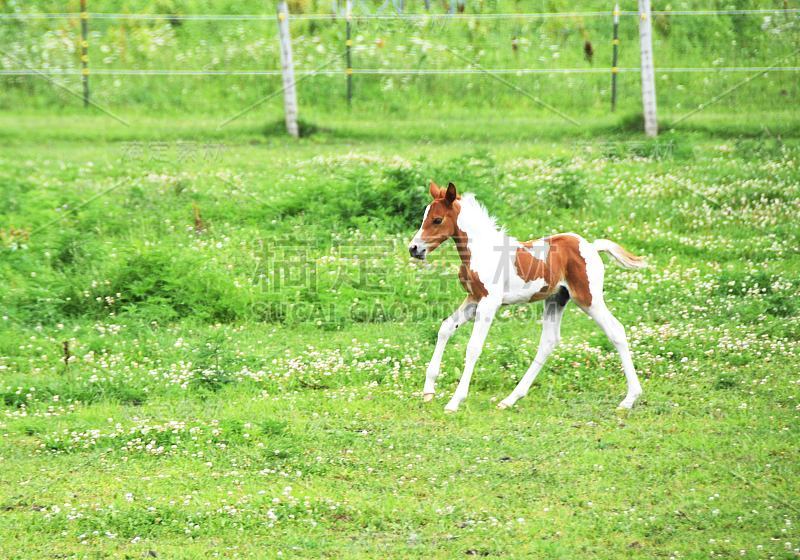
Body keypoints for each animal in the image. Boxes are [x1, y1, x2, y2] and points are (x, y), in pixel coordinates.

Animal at [410, 182, 648, 414]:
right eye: (424, 217)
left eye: (437, 219)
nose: (414, 248)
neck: (481, 252)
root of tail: (591, 246)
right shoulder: (473, 299)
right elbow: (445, 328)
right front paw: (428, 391)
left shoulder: (489, 303)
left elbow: (473, 347)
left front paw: (454, 402)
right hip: (556, 299)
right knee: (549, 341)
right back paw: (510, 399)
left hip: (589, 299)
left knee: (616, 331)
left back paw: (629, 399)